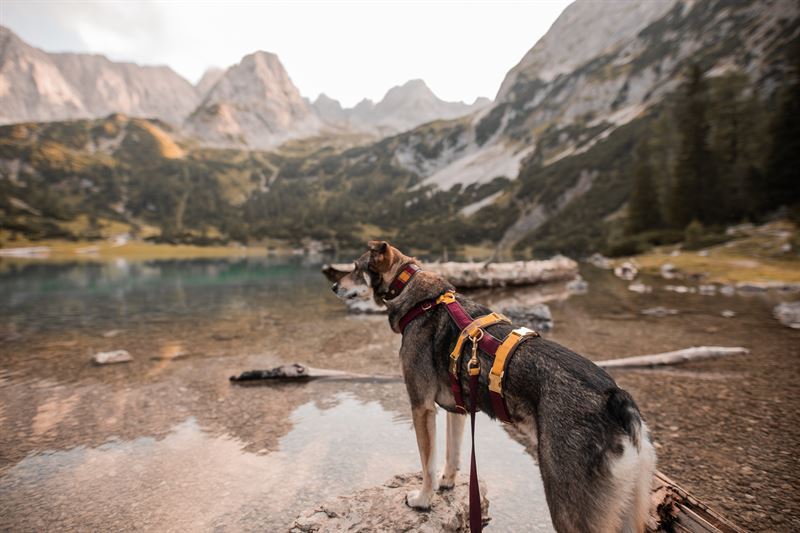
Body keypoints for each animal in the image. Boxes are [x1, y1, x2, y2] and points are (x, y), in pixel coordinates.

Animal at [328, 242, 652, 532]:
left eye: (355, 268)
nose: (332, 287)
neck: (417, 297)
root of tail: (615, 397)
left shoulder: (421, 407)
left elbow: (427, 464)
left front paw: (423, 500)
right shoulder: (456, 409)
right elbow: (452, 453)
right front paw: (448, 483)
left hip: (568, 506)